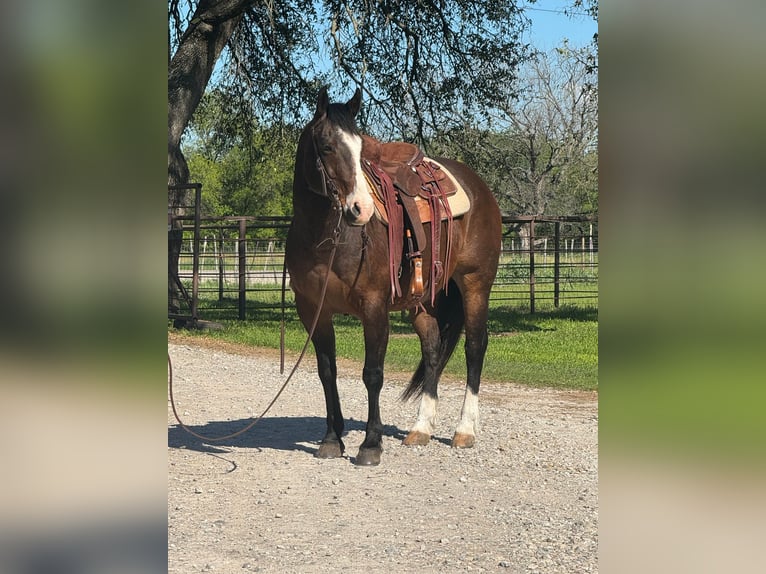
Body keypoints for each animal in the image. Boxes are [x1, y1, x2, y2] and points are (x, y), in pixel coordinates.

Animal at [284, 90, 500, 468]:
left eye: (361, 149)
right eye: (326, 146)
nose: (361, 209)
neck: (326, 237)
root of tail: (479, 188)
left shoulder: (373, 307)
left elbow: (372, 374)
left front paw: (370, 445)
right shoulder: (313, 309)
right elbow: (327, 371)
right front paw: (331, 439)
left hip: (475, 285)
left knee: (475, 347)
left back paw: (464, 430)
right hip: (426, 298)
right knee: (433, 349)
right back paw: (421, 429)